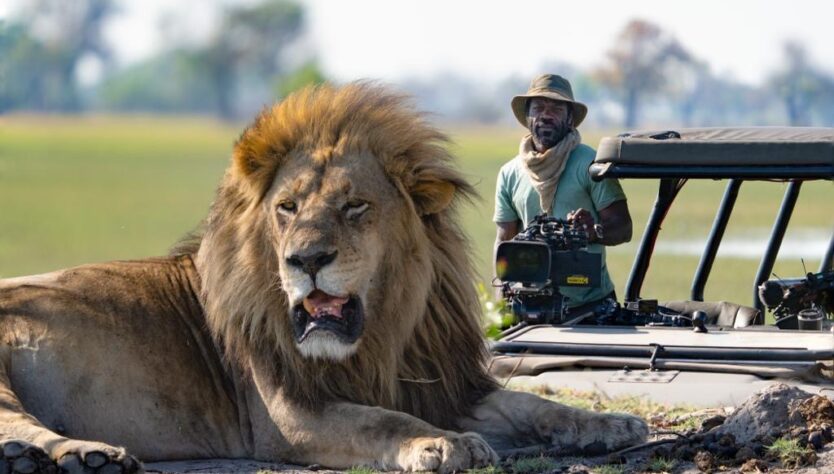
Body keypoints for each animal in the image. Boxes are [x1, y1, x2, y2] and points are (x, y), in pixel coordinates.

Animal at [0, 83, 647, 473]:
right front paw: (441, 443)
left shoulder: (441, 384)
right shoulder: (289, 413)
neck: (382, 335)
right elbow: (379, 421)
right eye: (286, 209)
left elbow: (536, 406)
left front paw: (611, 424)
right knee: (19, 423)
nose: (304, 260)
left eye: (354, 206)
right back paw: (84, 455)